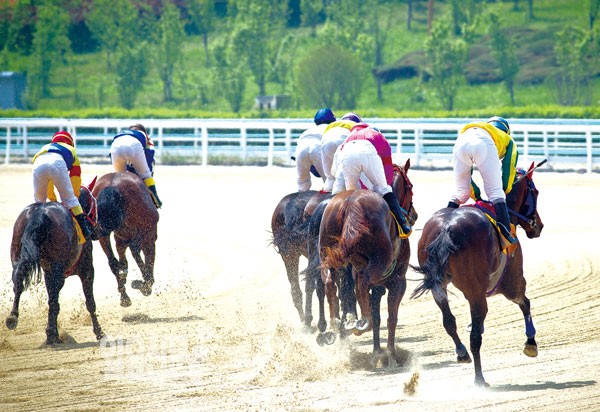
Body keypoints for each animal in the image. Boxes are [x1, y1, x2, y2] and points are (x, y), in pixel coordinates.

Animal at [4, 184, 104, 344]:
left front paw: (51, 332)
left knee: (18, 279)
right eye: (94, 203)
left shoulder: (49, 273)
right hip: (58, 269)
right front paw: (99, 332)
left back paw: (13, 317)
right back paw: (51, 334)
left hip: (17, 253)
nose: (98, 228)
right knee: (53, 301)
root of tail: (40, 212)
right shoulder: (86, 269)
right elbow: (89, 302)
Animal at [92, 172, 159, 308]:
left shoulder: (121, 239)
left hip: (105, 235)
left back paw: (124, 296)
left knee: (113, 262)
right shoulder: (149, 237)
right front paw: (142, 285)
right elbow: (148, 270)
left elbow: (126, 260)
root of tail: (111, 184)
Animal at [318, 159, 418, 366]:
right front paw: (390, 355)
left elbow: (378, 315)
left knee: (330, 283)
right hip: (376, 267)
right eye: (411, 186)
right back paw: (361, 323)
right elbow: (391, 317)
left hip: (327, 256)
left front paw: (378, 352)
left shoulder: (377, 286)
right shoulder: (398, 281)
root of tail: (348, 204)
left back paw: (336, 324)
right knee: (362, 284)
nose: (414, 215)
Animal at [412, 161, 544, 386]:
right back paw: (480, 378)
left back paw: (462, 352)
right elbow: (525, 302)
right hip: (480, 292)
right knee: (475, 336)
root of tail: (446, 228)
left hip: (439, 287)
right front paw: (531, 343)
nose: (539, 226)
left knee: (449, 321)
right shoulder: (511, 282)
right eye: (535, 192)